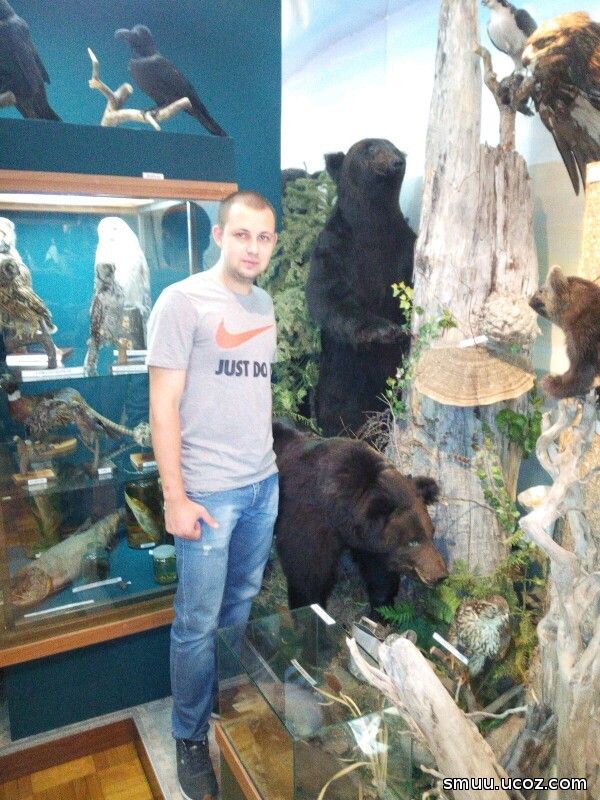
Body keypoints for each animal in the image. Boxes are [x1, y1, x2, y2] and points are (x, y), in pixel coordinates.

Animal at [273, 420, 448, 615]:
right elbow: (307, 572)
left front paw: (381, 610)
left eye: (431, 533)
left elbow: (380, 577)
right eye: (413, 541)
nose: (441, 575)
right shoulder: (310, 520)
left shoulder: (370, 542)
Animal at [306, 138, 416, 436]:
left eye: (394, 147)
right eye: (371, 148)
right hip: (339, 371)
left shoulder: (404, 246)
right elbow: (328, 295)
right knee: (338, 404)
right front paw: (385, 330)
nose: (397, 161)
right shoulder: (334, 247)